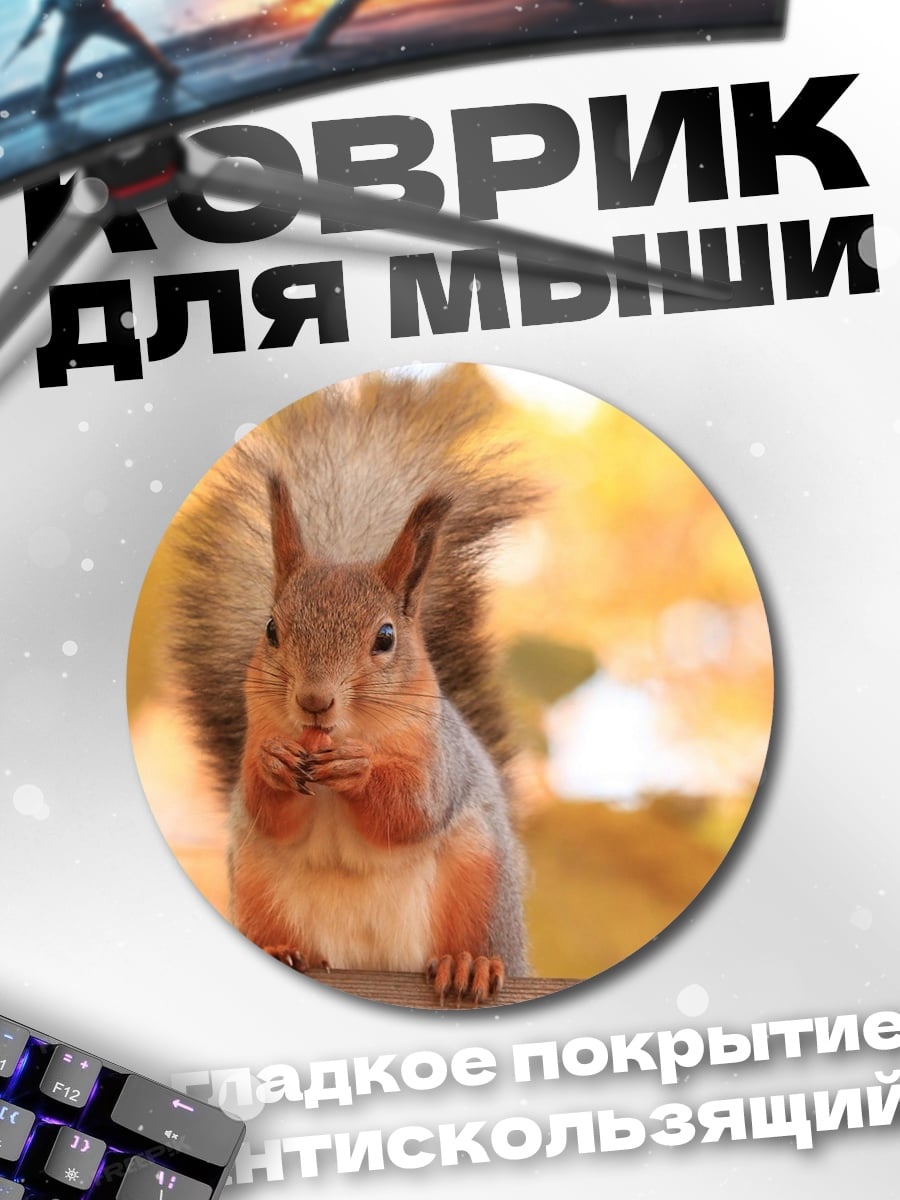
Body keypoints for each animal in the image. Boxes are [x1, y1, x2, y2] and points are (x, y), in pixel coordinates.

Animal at [164, 369, 542, 1003]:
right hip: (260, 882)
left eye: (386, 637)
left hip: (479, 873)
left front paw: (358, 769)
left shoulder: (436, 756)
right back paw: (283, 951)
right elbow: (266, 808)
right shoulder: (258, 731)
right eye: (271, 629)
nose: (314, 702)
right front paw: (274, 764)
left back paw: (469, 963)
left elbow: (412, 809)